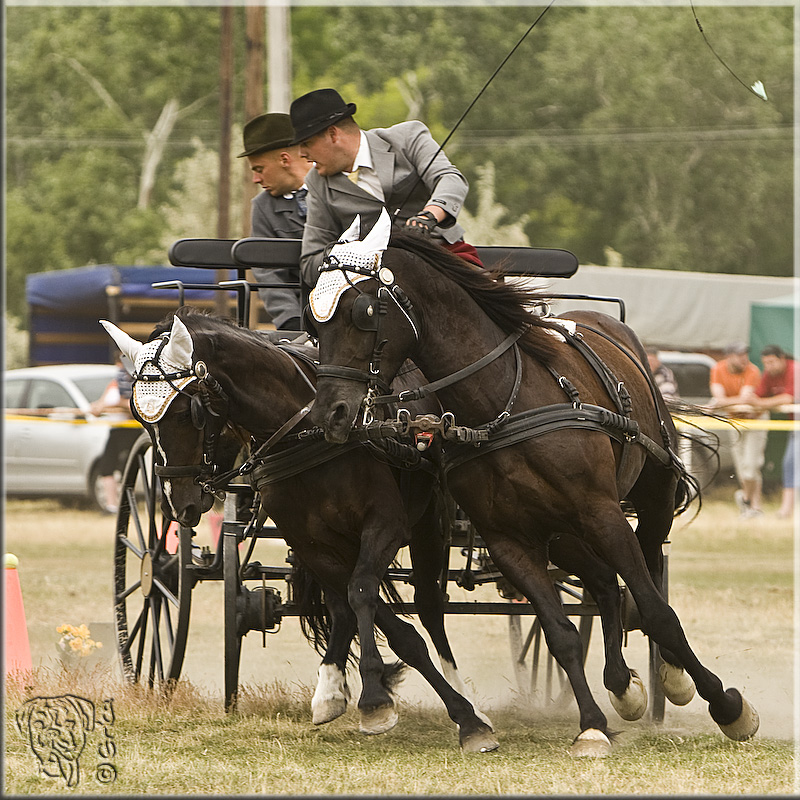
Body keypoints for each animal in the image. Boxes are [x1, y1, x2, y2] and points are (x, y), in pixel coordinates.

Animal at [101, 310, 494, 752]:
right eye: (139, 418)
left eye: (190, 413)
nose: (178, 503)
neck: (303, 431)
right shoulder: (309, 543)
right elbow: (363, 605)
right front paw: (362, 693)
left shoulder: (385, 524)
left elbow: (370, 599)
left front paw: (452, 713)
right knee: (342, 605)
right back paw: (331, 688)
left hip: (428, 522)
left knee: (428, 606)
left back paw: (464, 695)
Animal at [310, 216, 760, 752]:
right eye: (313, 320)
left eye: (362, 312)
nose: (331, 413)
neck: (504, 401)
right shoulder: (511, 541)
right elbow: (559, 630)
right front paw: (592, 725)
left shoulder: (603, 513)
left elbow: (655, 612)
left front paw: (728, 706)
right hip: (561, 535)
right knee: (603, 584)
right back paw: (620, 683)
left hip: (648, 499)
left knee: (645, 576)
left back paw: (670, 675)